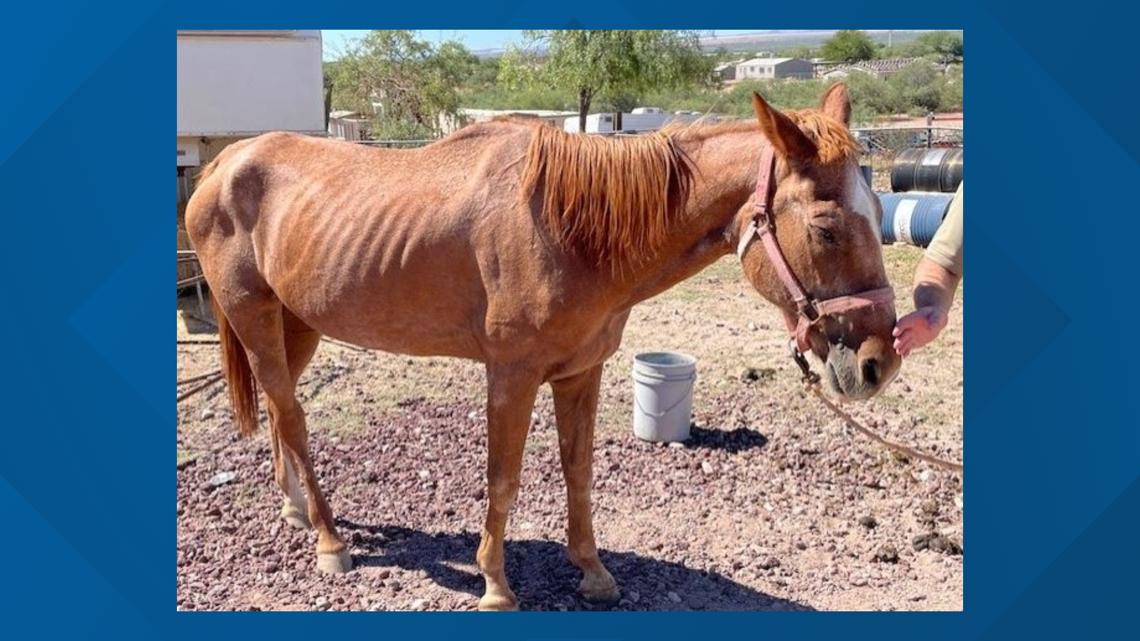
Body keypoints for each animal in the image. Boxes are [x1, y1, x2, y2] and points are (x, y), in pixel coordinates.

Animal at [186, 84, 898, 606]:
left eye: (877, 212)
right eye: (827, 227)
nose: (877, 363)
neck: (572, 229)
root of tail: (223, 163)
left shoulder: (581, 371)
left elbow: (577, 470)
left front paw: (594, 573)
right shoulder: (512, 375)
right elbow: (503, 478)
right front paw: (495, 585)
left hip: (295, 324)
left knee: (278, 410)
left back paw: (297, 513)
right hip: (255, 317)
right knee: (293, 419)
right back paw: (331, 542)